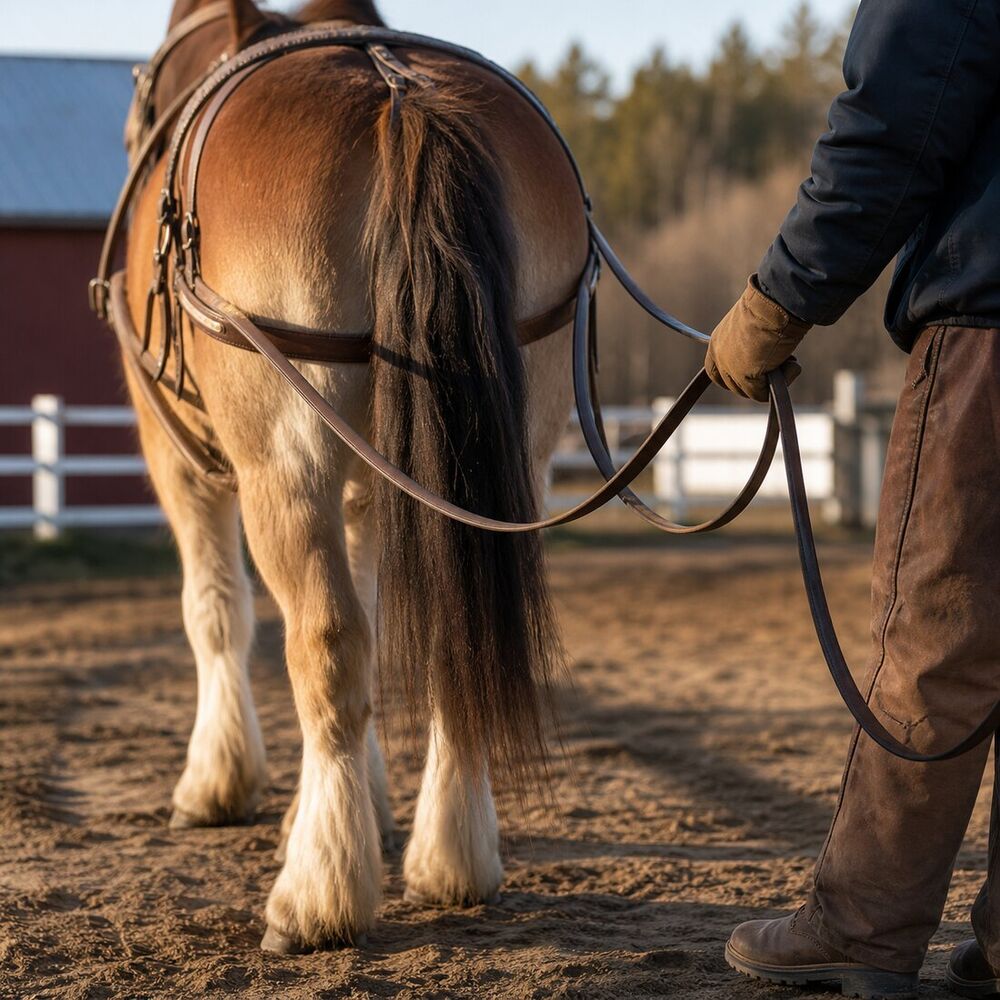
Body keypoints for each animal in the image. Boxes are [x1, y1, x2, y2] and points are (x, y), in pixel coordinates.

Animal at [119, 0, 588, 953]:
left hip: (283, 465)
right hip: (507, 452)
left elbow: (217, 614)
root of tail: (400, 95)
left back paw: (314, 899)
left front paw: (218, 784)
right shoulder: (377, 483)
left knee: (326, 647)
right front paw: (364, 804)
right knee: (454, 640)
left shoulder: (180, 462)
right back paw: (453, 859)